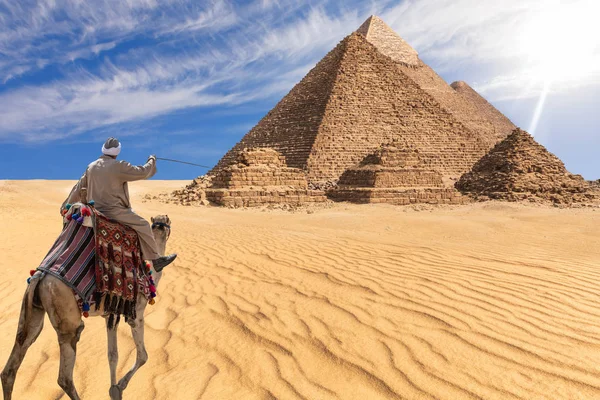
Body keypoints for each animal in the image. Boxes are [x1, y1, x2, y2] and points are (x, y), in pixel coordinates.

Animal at [0, 214, 173, 398]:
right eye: (167, 222)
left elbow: (113, 355)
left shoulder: (111, 316)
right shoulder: (137, 314)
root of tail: (39, 277)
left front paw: (114, 390)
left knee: (15, 360)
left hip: (33, 310)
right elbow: (143, 356)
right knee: (64, 377)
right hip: (67, 320)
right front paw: (120, 385)